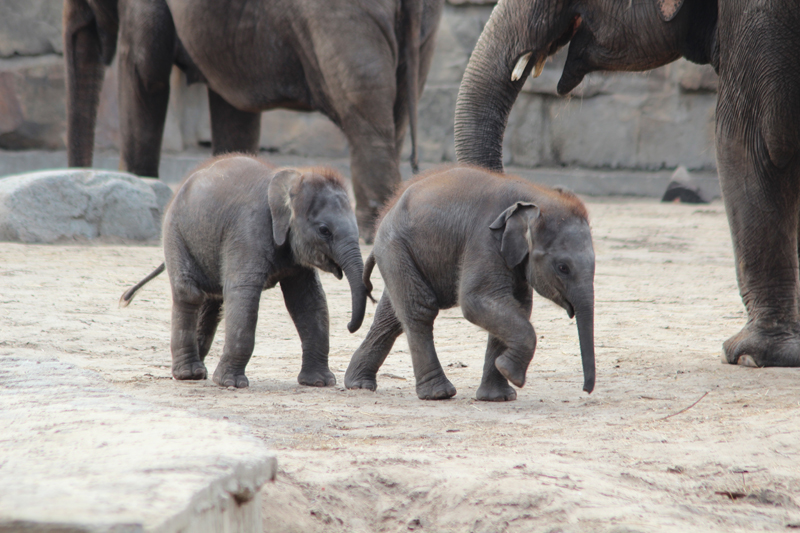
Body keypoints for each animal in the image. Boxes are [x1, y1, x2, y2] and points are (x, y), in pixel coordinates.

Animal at [64, 0, 444, 239]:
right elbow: (233, 112)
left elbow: (145, 74)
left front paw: (139, 184)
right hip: (422, 33)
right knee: (396, 113)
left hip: (345, 22)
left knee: (363, 116)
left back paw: (370, 231)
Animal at [120, 154, 370, 386]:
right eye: (324, 230)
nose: (349, 326)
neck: (291, 179)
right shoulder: (248, 230)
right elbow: (243, 293)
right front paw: (231, 383)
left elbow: (307, 301)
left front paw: (319, 382)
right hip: (175, 232)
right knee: (189, 293)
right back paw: (189, 374)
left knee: (211, 302)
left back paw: (198, 371)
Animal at [344, 166, 592, 400]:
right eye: (563, 268)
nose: (586, 390)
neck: (536, 197)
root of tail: (387, 211)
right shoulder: (484, 238)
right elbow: (478, 300)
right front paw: (510, 373)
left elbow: (515, 306)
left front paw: (499, 397)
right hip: (395, 247)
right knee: (419, 309)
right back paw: (438, 394)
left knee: (393, 316)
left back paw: (359, 384)